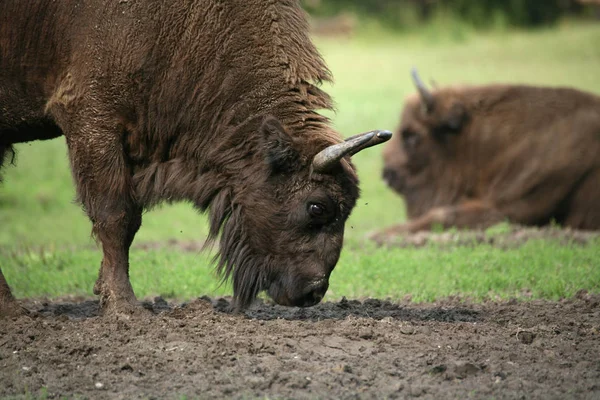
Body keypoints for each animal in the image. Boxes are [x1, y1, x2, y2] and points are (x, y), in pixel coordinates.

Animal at [0, 0, 392, 318]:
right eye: (316, 206)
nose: (313, 292)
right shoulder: (92, 122)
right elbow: (116, 218)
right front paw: (125, 308)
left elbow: (130, 222)